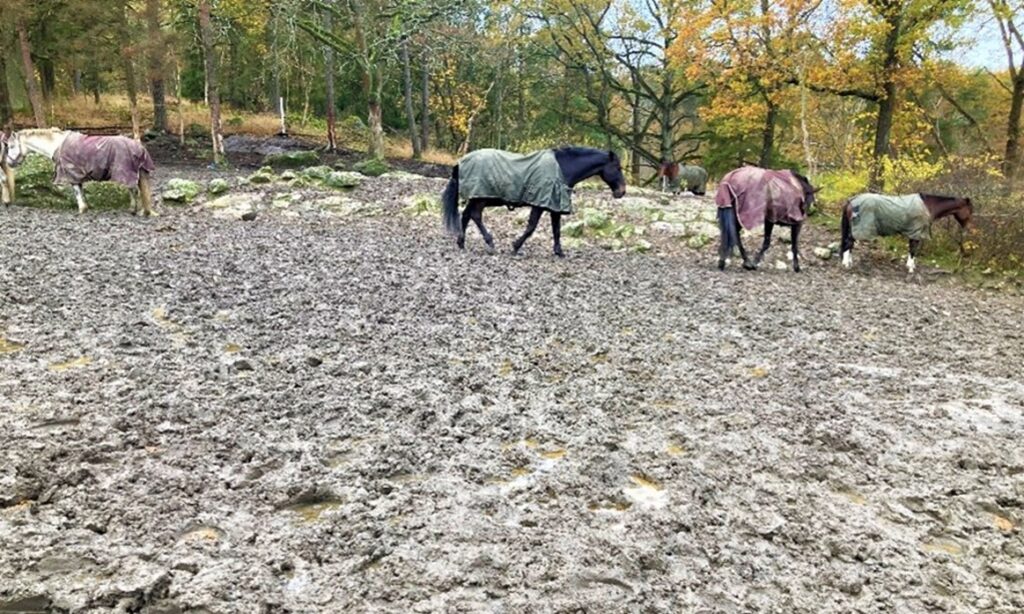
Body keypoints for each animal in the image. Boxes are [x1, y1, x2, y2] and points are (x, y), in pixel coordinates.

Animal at [2, 127, 155, 215]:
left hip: (126, 174)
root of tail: (139, 146)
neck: (57, 145)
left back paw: (135, 210)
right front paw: (86, 207)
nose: (9, 162)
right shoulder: (77, 177)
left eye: (11, 146)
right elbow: (81, 192)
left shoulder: (72, 176)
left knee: (134, 190)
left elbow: (77, 193)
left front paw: (81, 209)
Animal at [440, 146, 622, 256]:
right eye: (618, 167)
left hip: (477, 197)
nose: (622, 192)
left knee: (466, 215)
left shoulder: (554, 205)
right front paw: (515, 246)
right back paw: (490, 243)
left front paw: (559, 252)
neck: (562, 168)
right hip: (480, 198)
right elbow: (531, 227)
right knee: (475, 216)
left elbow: (556, 230)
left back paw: (461, 242)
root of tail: (461, 162)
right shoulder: (539, 204)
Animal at [839, 192, 974, 274]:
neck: (928, 206)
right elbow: (913, 250)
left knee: (849, 244)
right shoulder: (916, 233)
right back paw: (846, 264)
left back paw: (849, 262)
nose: (968, 228)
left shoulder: (914, 232)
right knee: (849, 243)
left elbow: (911, 250)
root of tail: (852, 200)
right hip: (858, 228)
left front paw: (910, 266)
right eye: (970, 210)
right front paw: (910, 268)